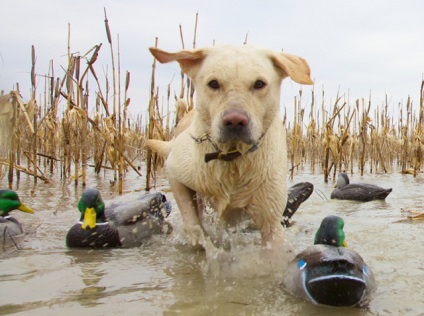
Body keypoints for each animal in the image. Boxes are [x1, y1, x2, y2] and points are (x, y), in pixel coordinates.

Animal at [147, 44, 314, 248]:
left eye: (259, 83)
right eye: (213, 83)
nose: (235, 121)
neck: (231, 157)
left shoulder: (271, 221)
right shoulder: (174, 172)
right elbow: (192, 221)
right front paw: (200, 241)